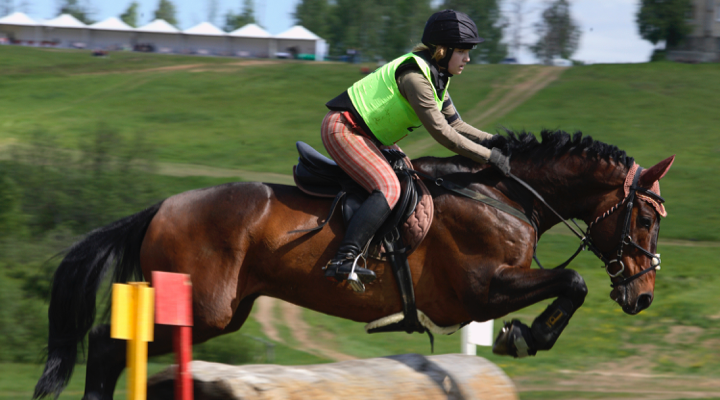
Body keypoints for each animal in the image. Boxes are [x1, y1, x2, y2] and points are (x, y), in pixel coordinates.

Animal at [33, 131, 675, 400]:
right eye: (645, 218)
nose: (642, 295)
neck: (503, 194)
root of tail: (161, 207)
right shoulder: (480, 291)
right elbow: (574, 279)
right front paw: (524, 336)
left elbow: (571, 282)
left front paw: (525, 335)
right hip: (199, 307)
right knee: (107, 344)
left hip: (221, 313)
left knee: (112, 347)